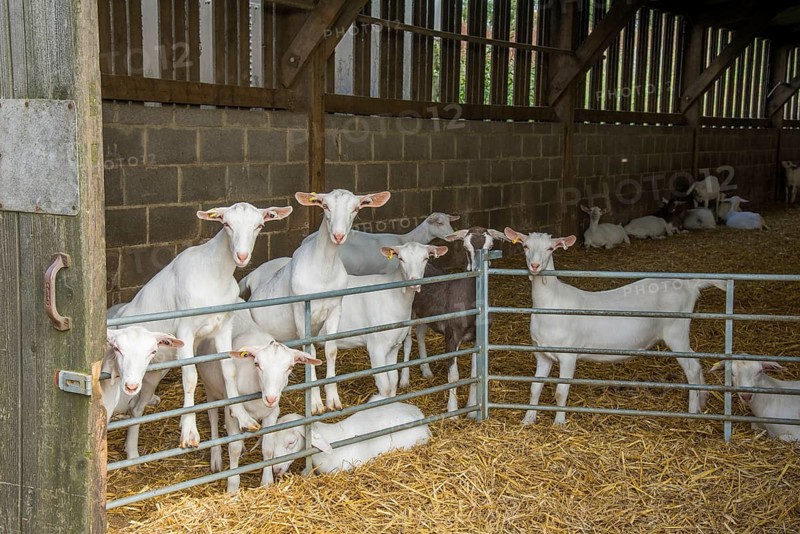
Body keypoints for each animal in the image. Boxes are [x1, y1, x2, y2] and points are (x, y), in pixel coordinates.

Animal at [504, 227, 724, 425]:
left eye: (550, 248)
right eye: (525, 246)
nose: (534, 265)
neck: (552, 303)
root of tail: (690, 285)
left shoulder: (569, 355)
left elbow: (561, 392)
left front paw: (559, 422)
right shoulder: (542, 354)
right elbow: (534, 387)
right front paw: (528, 419)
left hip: (676, 331)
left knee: (692, 368)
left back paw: (692, 413)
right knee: (697, 362)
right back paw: (703, 402)